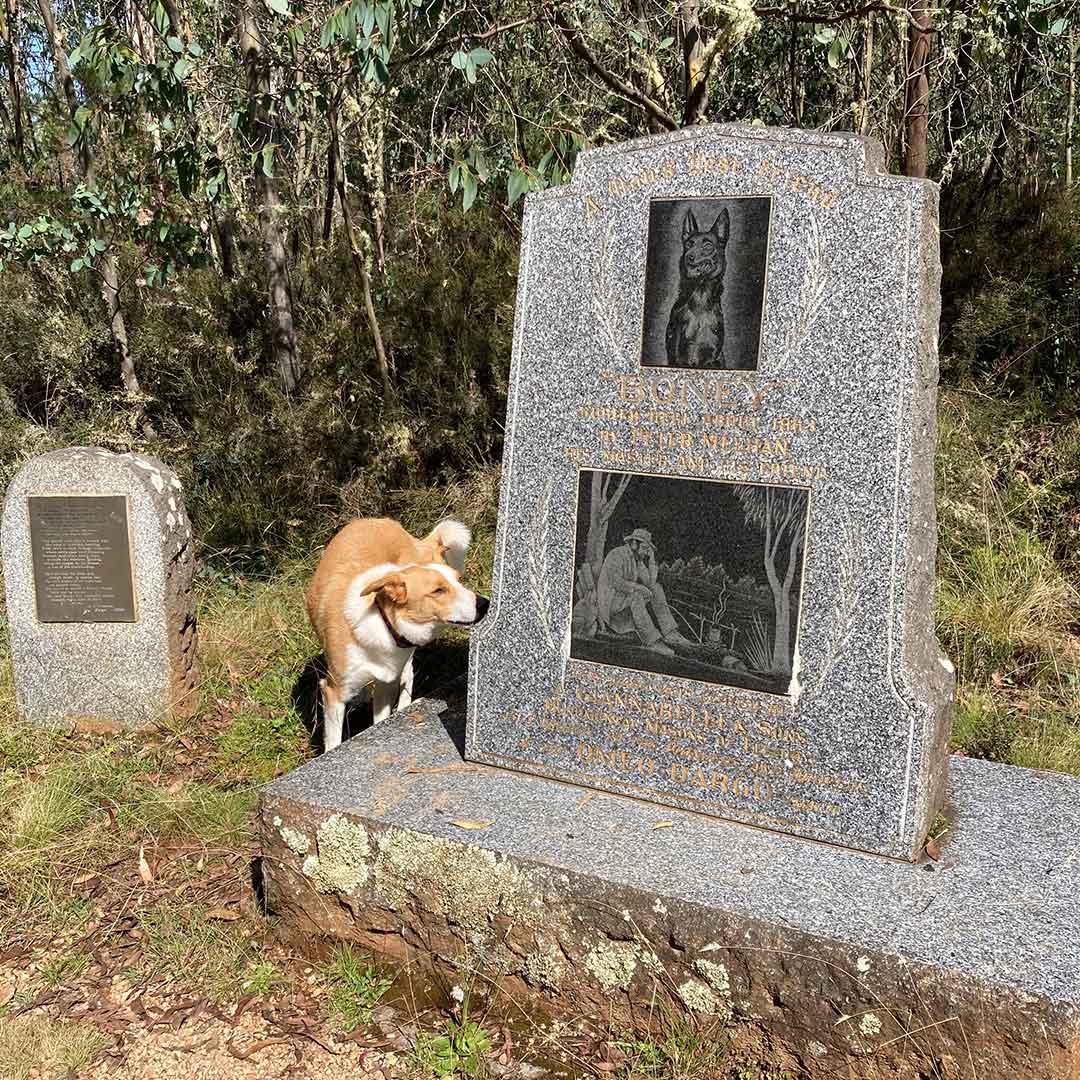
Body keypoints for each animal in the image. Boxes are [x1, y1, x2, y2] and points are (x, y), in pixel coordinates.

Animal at [304, 516, 490, 751]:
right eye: (438, 590)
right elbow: (334, 741)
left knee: (408, 673)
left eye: (459, 581)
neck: (381, 620)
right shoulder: (334, 691)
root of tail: (381, 520)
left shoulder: (385, 684)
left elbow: (381, 717)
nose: (485, 603)